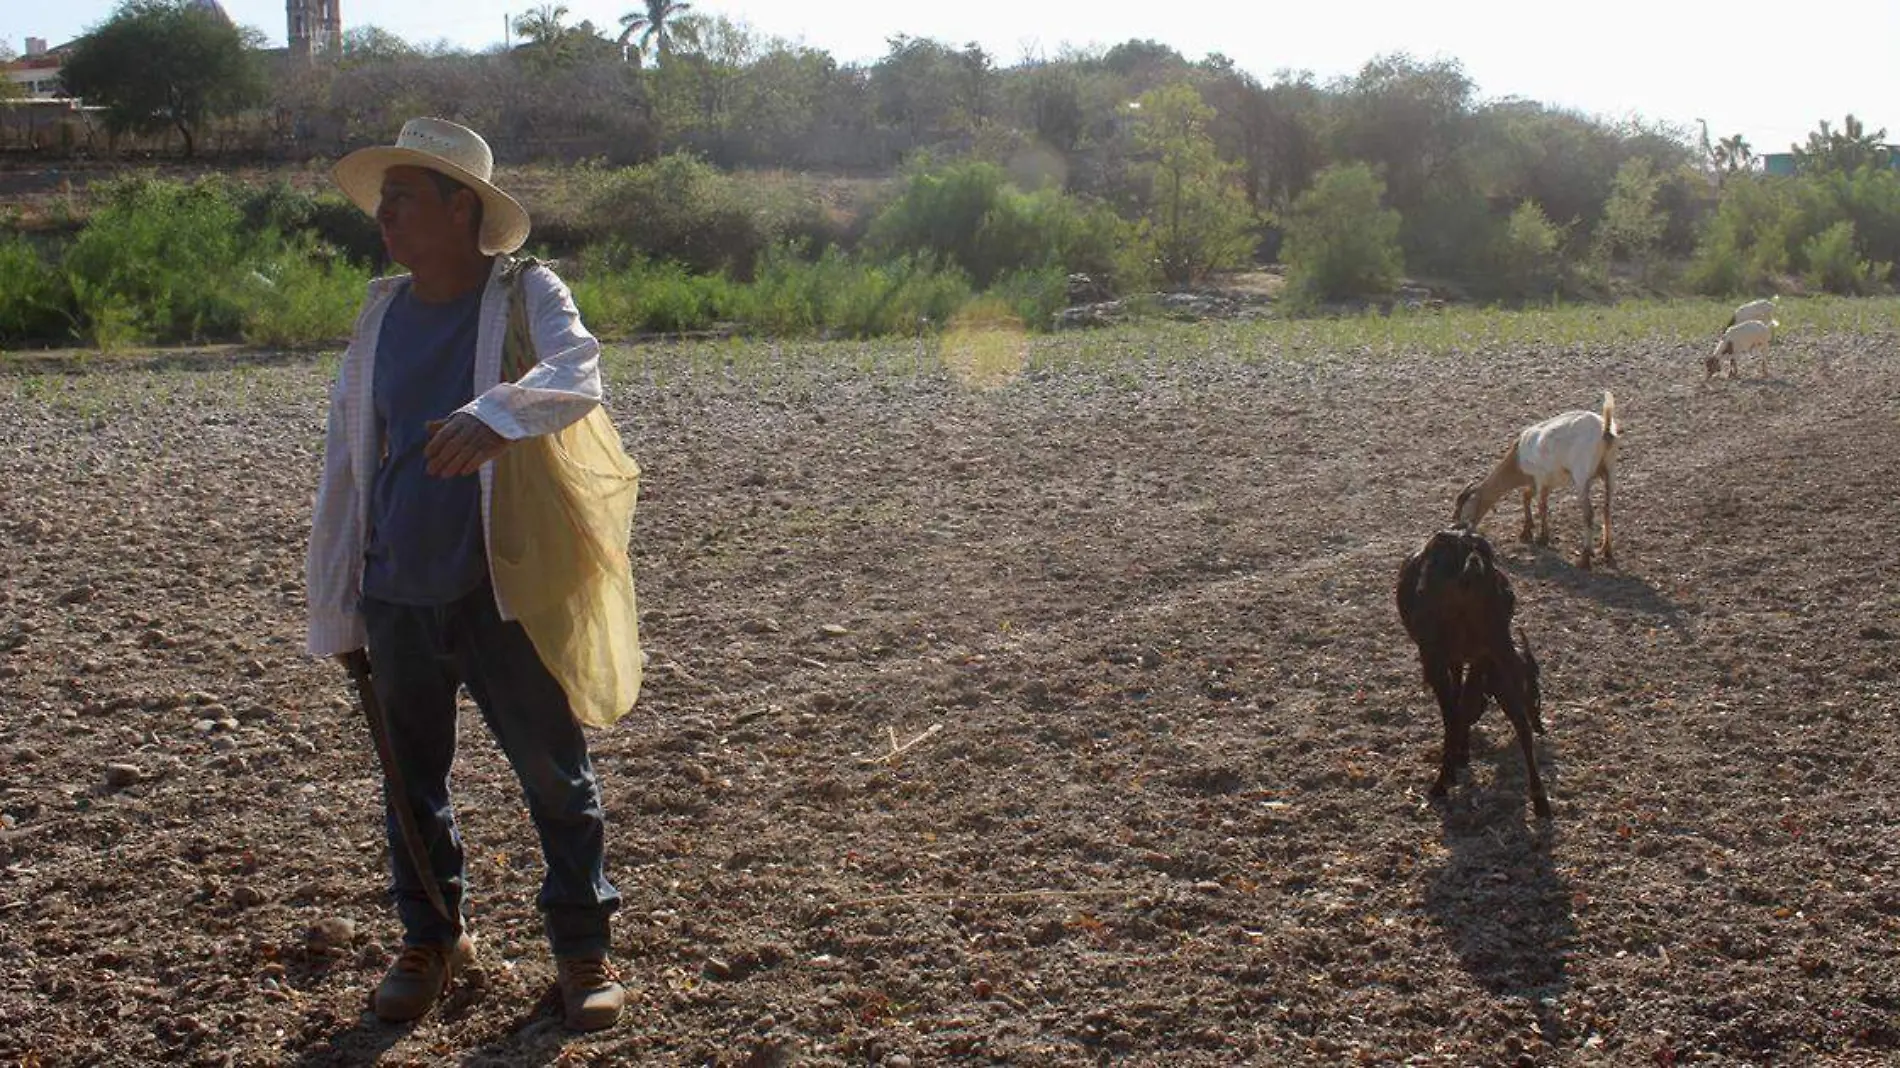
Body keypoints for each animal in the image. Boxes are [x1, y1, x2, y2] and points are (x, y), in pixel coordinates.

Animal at [1451, 393, 1618, 566]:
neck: (1518, 458)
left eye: (1465, 508)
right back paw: (1606, 551)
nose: (1458, 529)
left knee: (1589, 514)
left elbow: (1541, 505)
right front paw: (1526, 532)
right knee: (1607, 509)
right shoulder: (1543, 482)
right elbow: (1526, 496)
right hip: (1610, 471)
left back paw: (1584, 559)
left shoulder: (1540, 479)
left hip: (1581, 477)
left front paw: (1542, 538)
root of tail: (1605, 430)